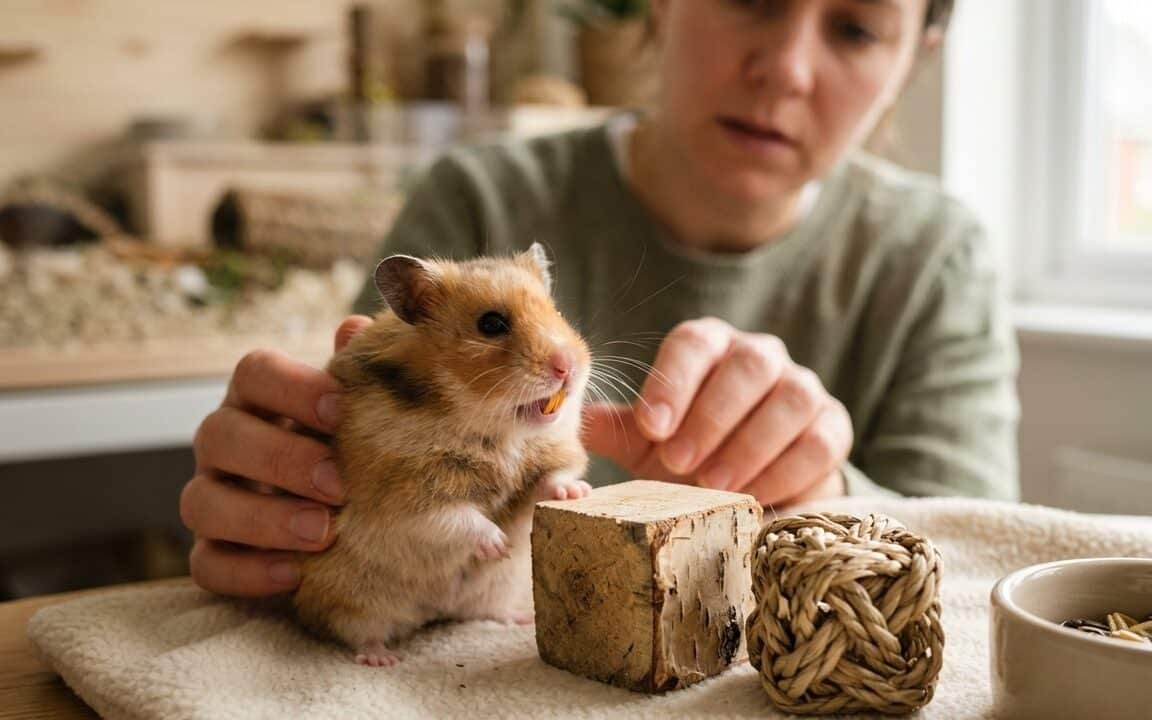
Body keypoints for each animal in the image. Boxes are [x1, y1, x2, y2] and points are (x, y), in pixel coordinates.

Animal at [294, 243, 592, 667]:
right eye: (491, 324)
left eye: (558, 313)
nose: (568, 367)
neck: (497, 434)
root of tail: (433, 612)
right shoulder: (405, 497)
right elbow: (454, 517)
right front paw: (500, 544)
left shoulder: (544, 461)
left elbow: (548, 480)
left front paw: (576, 492)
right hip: (351, 598)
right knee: (355, 631)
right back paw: (382, 658)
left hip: (495, 589)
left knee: (482, 611)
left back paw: (516, 617)